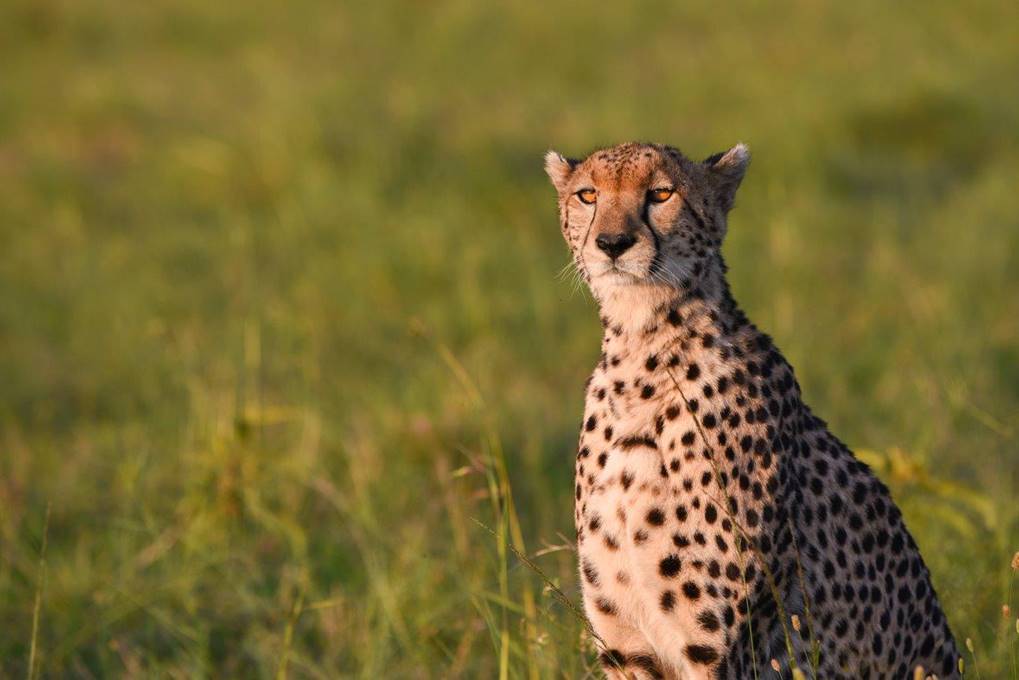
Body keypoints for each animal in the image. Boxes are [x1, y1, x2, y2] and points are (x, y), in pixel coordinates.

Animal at [543, 141, 960, 680]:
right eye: (588, 195)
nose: (613, 243)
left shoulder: (716, 647)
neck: (642, 353)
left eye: (661, 193)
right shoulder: (627, 645)